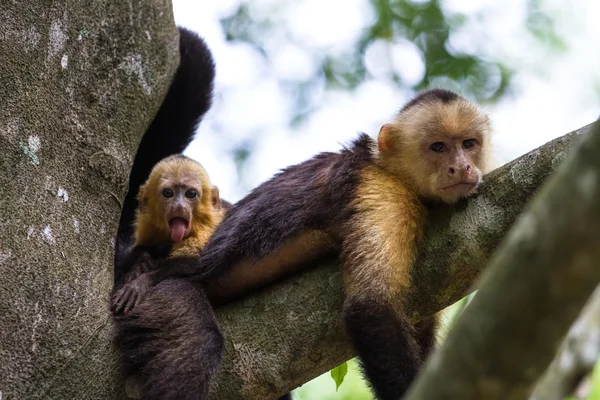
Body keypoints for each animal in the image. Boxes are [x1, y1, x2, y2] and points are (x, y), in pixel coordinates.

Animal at [115, 88, 494, 400]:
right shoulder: (380, 189)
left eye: (468, 144)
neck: (389, 169)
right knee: (194, 339)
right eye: (438, 147)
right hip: (154, 295)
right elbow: (369, 309)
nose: (461, 167)